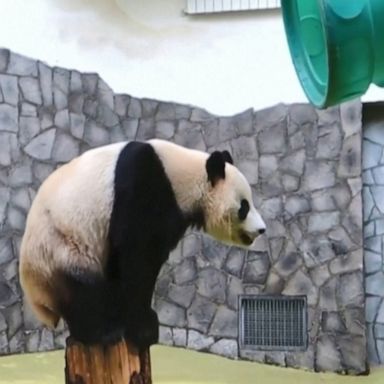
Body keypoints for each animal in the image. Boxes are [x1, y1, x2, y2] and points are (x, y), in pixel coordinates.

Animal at [19, 140, 266, 350]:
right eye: (244, 206)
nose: (261, 230)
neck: (181, 176)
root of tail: (37, 299)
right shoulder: (144, 185)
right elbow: (136, 255)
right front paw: (142, 327)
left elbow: (142, 260)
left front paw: (139, 321)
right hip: (59, 247)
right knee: (83, 290)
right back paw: (102, 332)